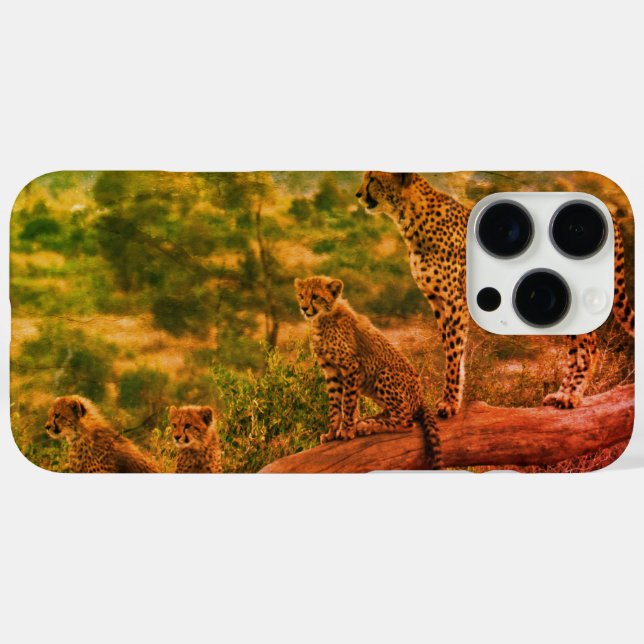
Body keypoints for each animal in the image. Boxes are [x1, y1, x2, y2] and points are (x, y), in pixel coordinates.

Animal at [295, 275, 440, 468]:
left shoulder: (351, 366)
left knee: (406, 421)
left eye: (315, 297)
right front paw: (332, 432)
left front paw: (347, 430)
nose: (304, 308)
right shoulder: (332, 371)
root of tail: (421, 397)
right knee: (393, 414)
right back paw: (368, 420)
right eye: (301, 295)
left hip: (384, 374)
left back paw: (367, 426)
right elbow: (335, 405)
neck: (322, 319)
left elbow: (348, 402)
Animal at [355, 171, 634, 415]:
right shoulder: (438, 301)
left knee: (589, 346)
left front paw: (450, 404)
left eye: (372, 179)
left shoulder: (454, 301)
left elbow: (453, 353)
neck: (410, 217)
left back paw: (571, 395)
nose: (358, 194)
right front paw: (452, 397)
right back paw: (562, 393)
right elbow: (451, 350)